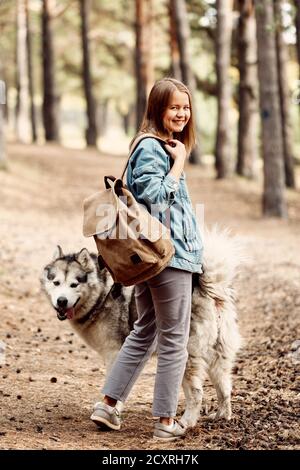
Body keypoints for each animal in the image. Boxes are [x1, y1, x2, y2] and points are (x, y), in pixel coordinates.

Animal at [41, 229, 244, 430]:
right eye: (56, 283)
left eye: (74, 284)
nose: (61, 301)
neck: (103, 294)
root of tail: (209, 292)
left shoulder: (114, 352)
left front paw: (111, 409)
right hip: (218, 358)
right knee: (225, 388)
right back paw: (222, 417)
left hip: (187, 357)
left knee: (197, 393)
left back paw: (186, 423)